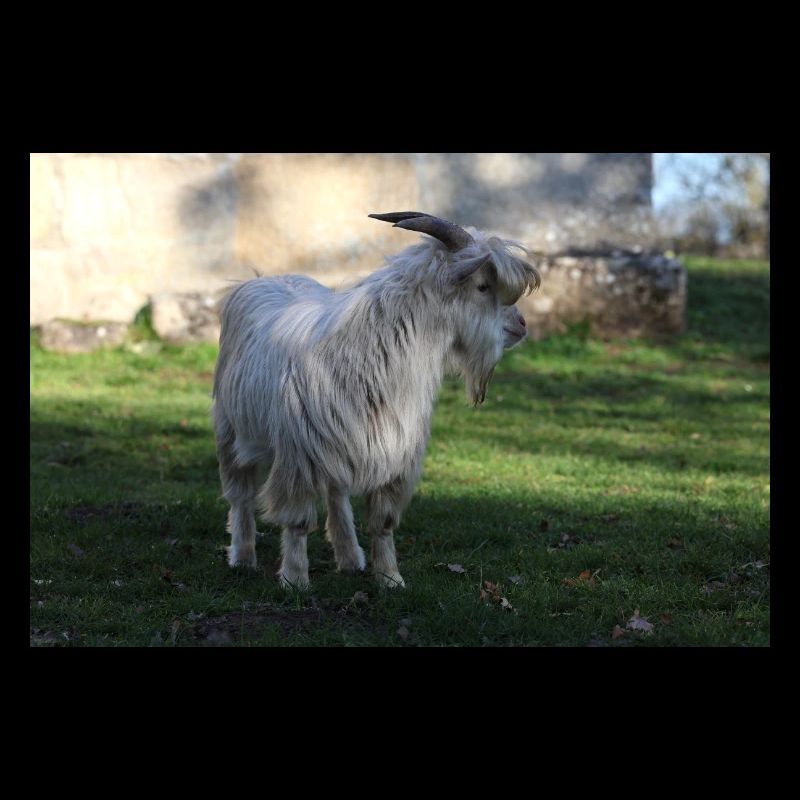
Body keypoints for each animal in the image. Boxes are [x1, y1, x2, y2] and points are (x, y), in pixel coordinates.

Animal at [212, 212, 540, 589]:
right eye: (483, 286)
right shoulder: (299, 457)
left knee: (336, 494)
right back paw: (242, 556)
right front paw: (295, 580)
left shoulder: (394, 452)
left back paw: (350, 558)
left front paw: (389, 578)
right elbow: (297, 521)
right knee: (240, 495)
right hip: (227, 427)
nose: (521, 325)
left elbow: (382, 522)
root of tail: (257, 280)